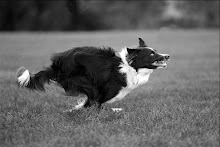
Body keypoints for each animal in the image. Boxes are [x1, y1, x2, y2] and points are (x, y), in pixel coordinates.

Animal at [16, 37, 169, 111]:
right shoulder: (104, 92)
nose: (167, 56)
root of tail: (56, 65)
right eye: (151, 54)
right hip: (86, 83)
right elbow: (94, 105)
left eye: (155, 51)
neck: (129, 67)